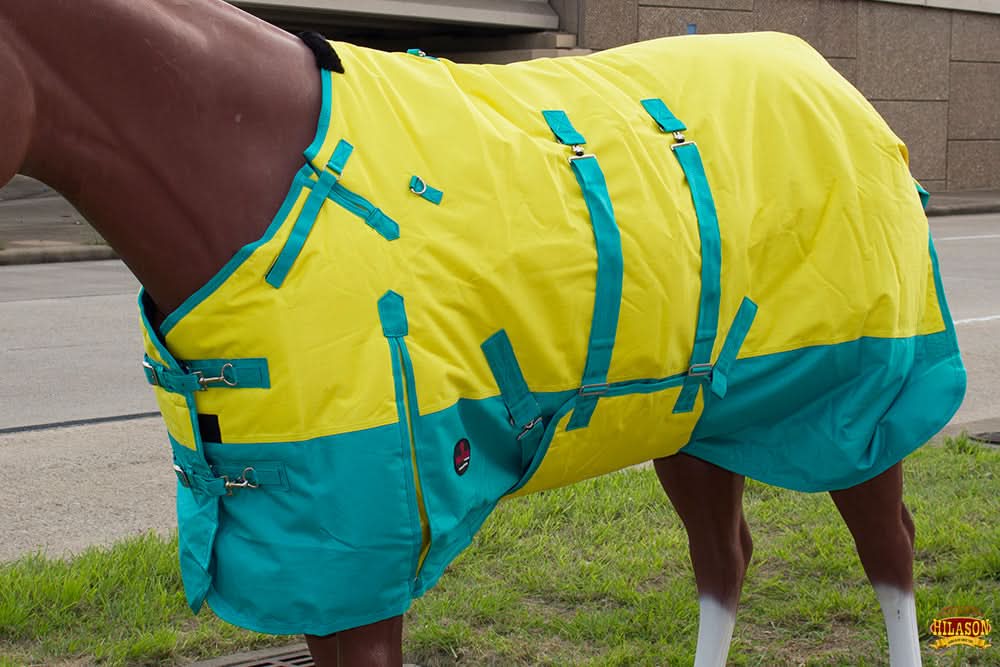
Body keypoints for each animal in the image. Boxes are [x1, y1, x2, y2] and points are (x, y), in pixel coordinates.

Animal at [1, 1, 965, 665]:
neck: (264, 166)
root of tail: (842, 90)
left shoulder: (368, 553)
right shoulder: (305, 560)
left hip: (858, 404)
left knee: (891, 549)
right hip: (695, 419)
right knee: (725, 557)